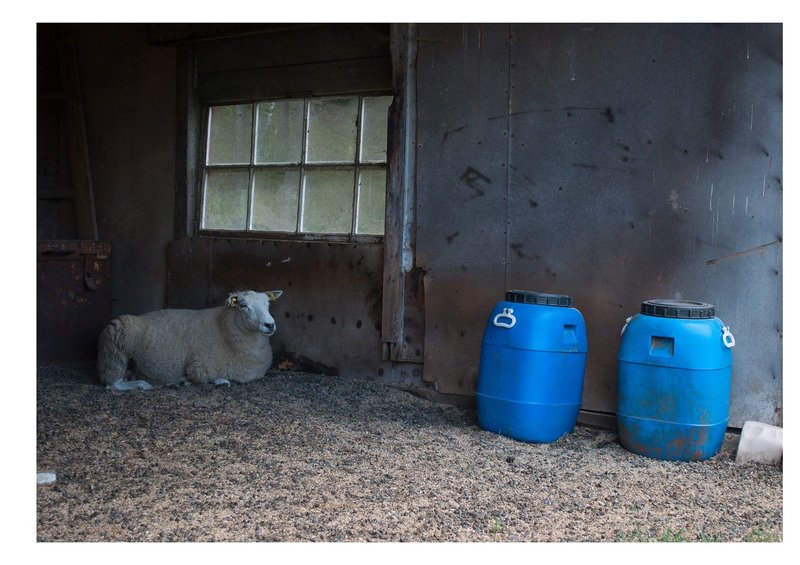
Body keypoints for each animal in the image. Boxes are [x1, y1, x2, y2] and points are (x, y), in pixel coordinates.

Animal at [97, 290, 283, 390]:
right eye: (243, 305)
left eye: (268, 303)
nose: (270, 324)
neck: (225, 329)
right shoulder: (198, 367)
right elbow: (212, 379)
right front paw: (219, 381)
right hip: (115, 351)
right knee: (112, 384)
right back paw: (143, 385)